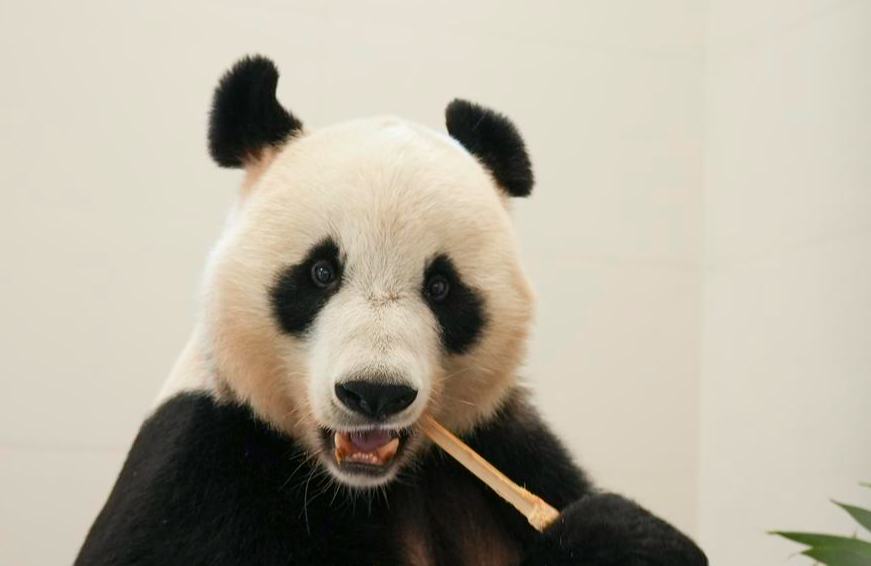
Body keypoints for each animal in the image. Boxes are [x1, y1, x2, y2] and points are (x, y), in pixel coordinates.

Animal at [76, 56, 707, 566]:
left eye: (442, 287)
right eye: (321, 272)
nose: (375, 393)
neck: (361, 487)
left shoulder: (498, 446)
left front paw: (629, 535)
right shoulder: (203, 468)